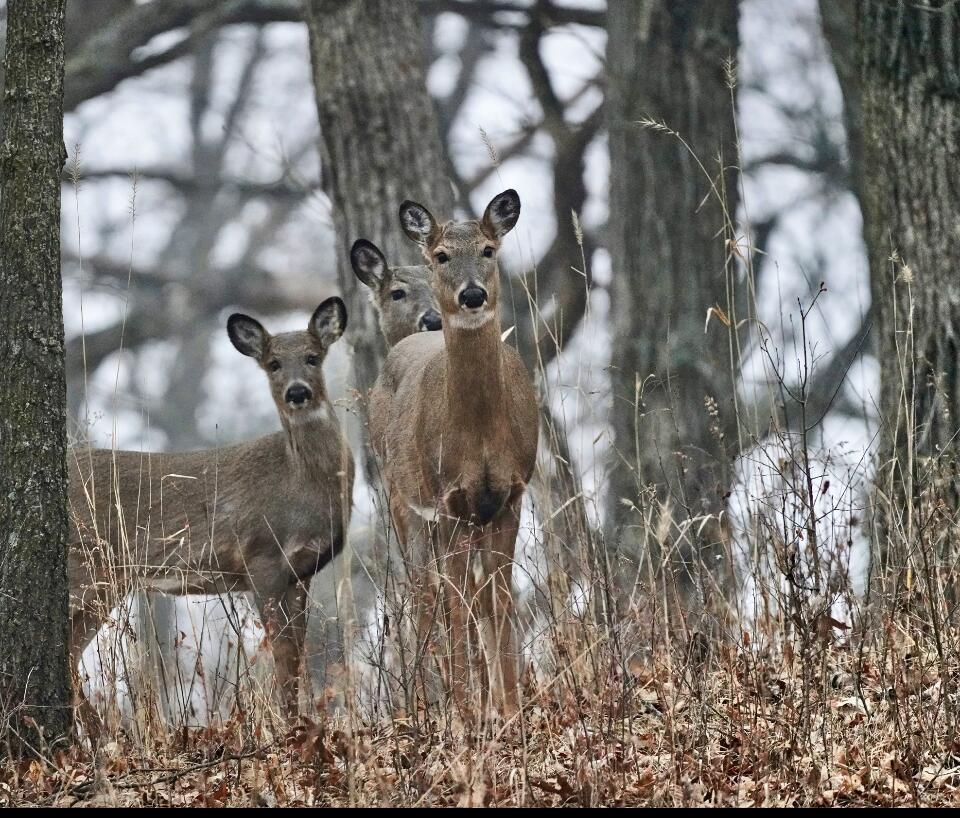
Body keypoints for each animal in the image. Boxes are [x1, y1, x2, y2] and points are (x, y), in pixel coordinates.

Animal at [68, 297, 353, 722]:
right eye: (273, 363)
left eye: (313, 357)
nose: (298, 392)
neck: (302, 482)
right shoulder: (261, 557)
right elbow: (282, 653)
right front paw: (291, 726)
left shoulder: (301, 571)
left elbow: (297, 654)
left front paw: (301, 720)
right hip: (85, 569)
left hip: (106, 581)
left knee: (68, 655)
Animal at [367, 189, 539, 716]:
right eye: (441, 255)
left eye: (488, 249)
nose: (472, 295)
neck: (479, 434)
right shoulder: (448, 499)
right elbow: (456, 603)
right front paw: (467, 712)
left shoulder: (510, 494)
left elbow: (499, 600)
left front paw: (509, 710)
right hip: (401, 498)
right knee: (426, 594)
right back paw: (435, 703)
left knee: (464, 596)